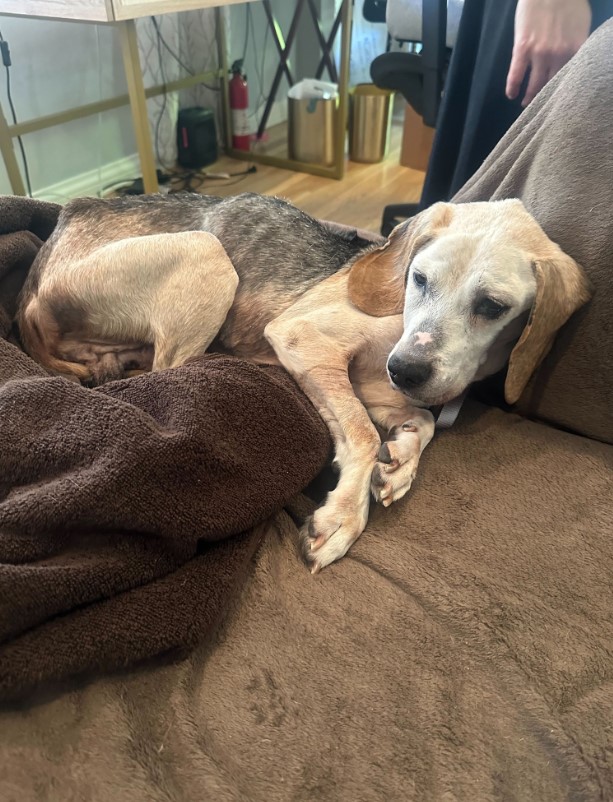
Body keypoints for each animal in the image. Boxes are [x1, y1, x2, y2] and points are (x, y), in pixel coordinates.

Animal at [19, 192, 592, 568]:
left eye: (493, 306)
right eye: (418, 278)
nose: (406, 370)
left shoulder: (370, 384)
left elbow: (419, 421)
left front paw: (401, 460)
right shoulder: (304, 340)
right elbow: (361, 434)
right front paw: (343, 516)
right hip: (207, 254)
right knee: (170, 369)